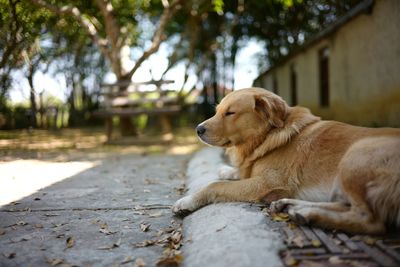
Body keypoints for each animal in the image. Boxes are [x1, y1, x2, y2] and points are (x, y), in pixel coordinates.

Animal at [172, 87, 400, 234]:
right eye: (218, 111)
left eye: (230, 113)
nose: (198, 129)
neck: (267, 136)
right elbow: (238, 171)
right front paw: (227, 169)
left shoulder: (266, 183)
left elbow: (215, 185)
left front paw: (187, 201)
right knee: (346, 206)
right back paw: (293, 206)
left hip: (357, 154)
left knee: (370, 221)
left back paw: (310, 214)